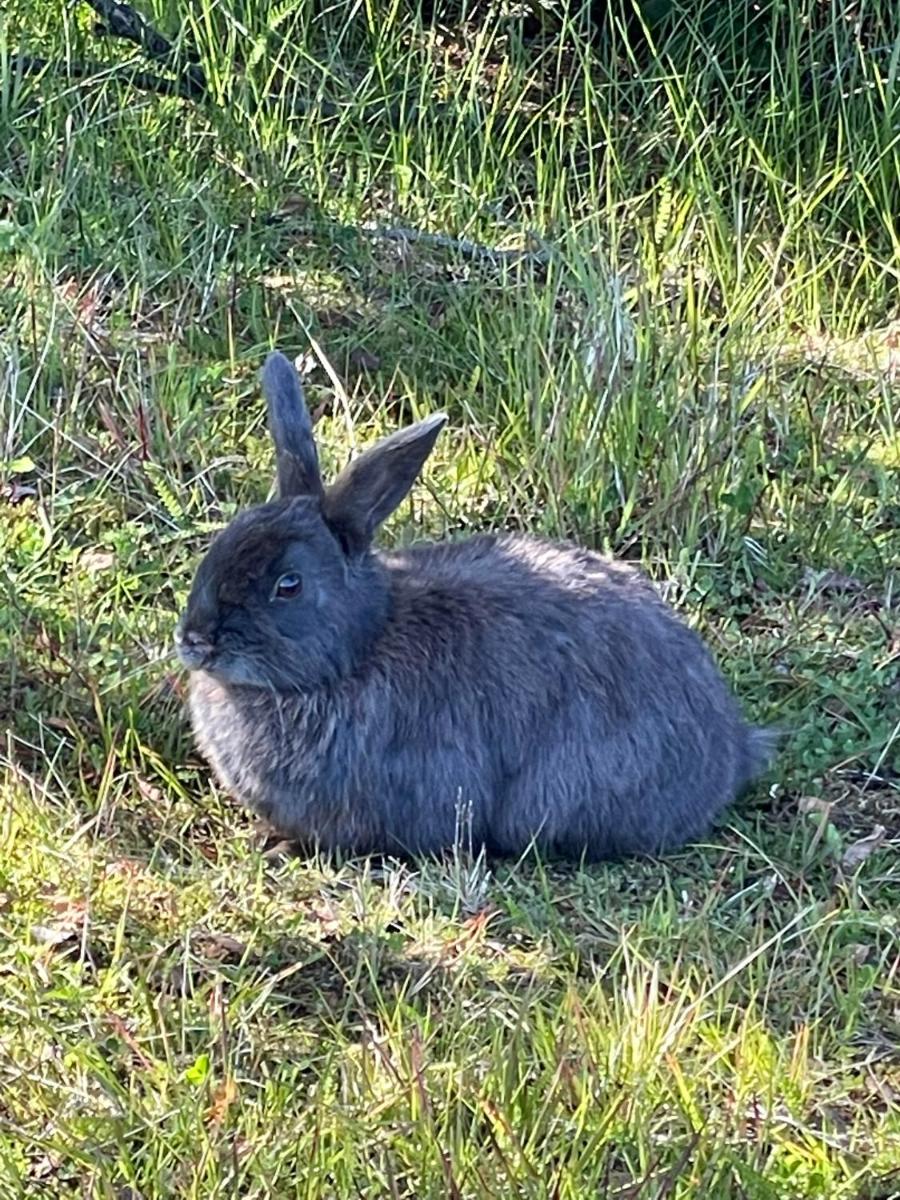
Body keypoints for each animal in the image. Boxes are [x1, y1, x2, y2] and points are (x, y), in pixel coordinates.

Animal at [174, 350, 777, 864]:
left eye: (289, 585)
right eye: (223, 542)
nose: (195, 641)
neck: (358, 648)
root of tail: (729, 752)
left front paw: (281, 845)